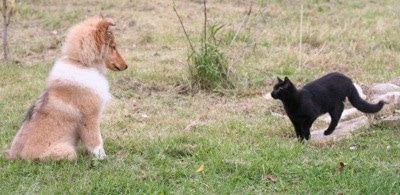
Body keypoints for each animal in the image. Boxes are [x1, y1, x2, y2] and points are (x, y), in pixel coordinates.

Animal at [8, 14, 127, 161]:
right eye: (113, 46)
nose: (126, 66)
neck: (81, 63)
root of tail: (15, 158)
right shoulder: (90, 117)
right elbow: (96, 142)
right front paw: (103, 159)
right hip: (67, 151)